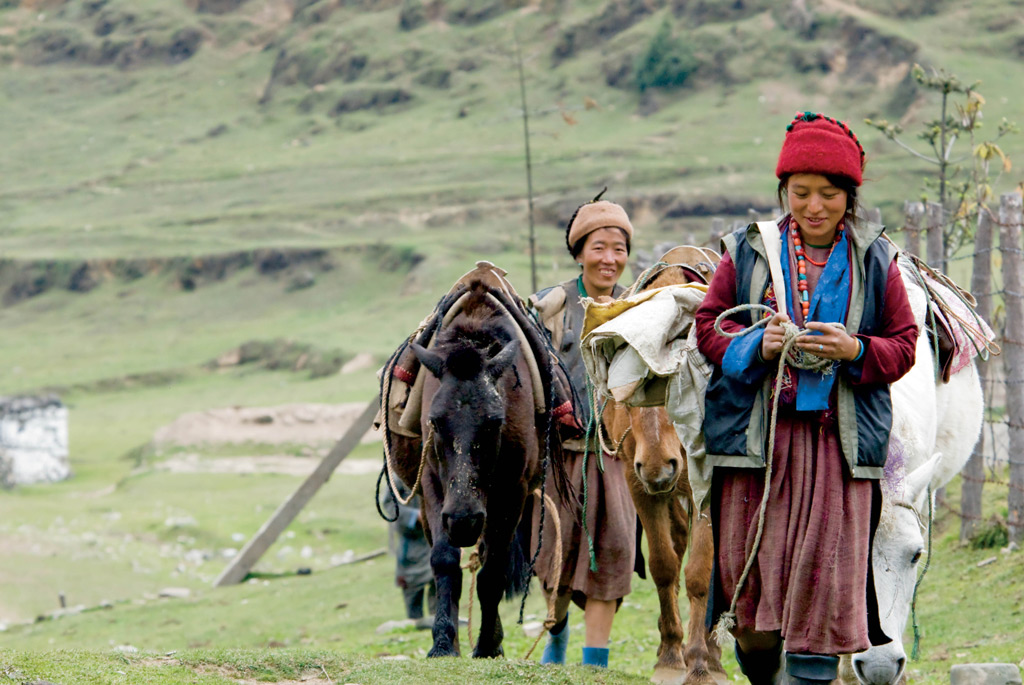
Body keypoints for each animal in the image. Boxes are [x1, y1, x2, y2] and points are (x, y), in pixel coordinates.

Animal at [602, 249, 724, 683]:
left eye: (677, 385)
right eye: (628, 389)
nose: (659, 469)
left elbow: (701, 574)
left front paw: (700, 660)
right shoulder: (637, 483)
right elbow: (664, 566)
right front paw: (670, 656)